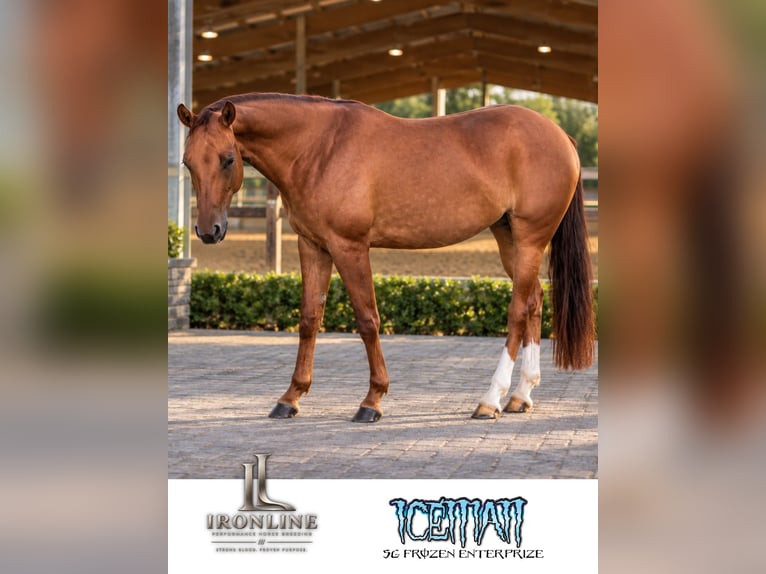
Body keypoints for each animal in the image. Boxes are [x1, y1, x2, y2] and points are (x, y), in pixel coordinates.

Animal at [177, 93, 595, 423]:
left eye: (228, 159)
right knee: (534, 300)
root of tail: (561, 136)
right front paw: (290, 398)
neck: (320, 148)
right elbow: (309, 319)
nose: (209, 231)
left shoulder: (349, 246)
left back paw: (489, 400)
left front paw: (372, 400)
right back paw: (520, 396)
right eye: (187, 162)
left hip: (529, 238)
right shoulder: (313, 246)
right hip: (508, 236)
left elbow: (368, 320)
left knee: (518, 310)